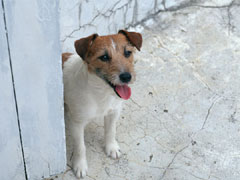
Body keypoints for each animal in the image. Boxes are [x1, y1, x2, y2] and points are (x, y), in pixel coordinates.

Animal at [61, 30, 142, 178]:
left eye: (127, 53)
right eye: (104, 57)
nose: (126, 77)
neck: (100, 92)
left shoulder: (113, 112)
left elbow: (110, 131)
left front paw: (111, 148)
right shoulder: (77, 123)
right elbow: (80, 146)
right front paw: (80, 165)